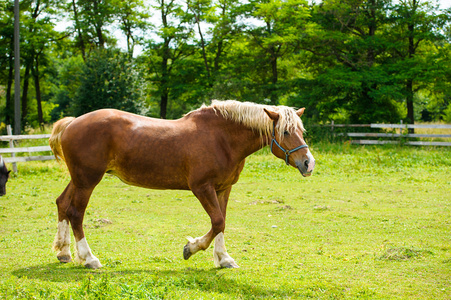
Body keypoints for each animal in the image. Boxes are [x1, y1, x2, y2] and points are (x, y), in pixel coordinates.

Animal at [49, 99, 316, 268]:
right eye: (285, 132)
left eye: (301, 131)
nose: (308, 163)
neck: (222, 138)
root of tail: (72, 123)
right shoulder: (202, 188)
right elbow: (217, 221)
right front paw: (192, 248)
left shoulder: (223, 188)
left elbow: (222, 222)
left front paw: (223, 259)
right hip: (87, 181)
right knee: (76, 213)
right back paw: (89, 259)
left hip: (78, 179)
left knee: (62, 204)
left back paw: (64, 252)